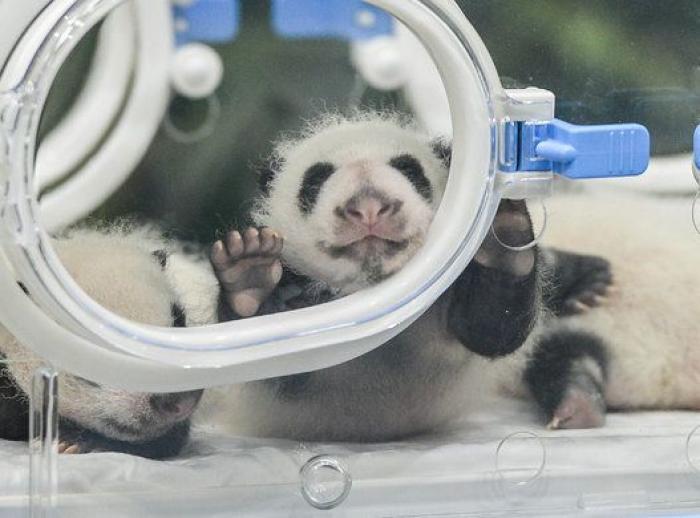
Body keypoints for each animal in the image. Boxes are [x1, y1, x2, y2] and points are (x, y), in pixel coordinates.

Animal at [203, 112, 609, 441]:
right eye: (315, 182)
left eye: (411, 171)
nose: (368, 207)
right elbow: (272, 366)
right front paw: (250, 274)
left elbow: (491, 329)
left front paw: (502, 235)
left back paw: (587, 287)